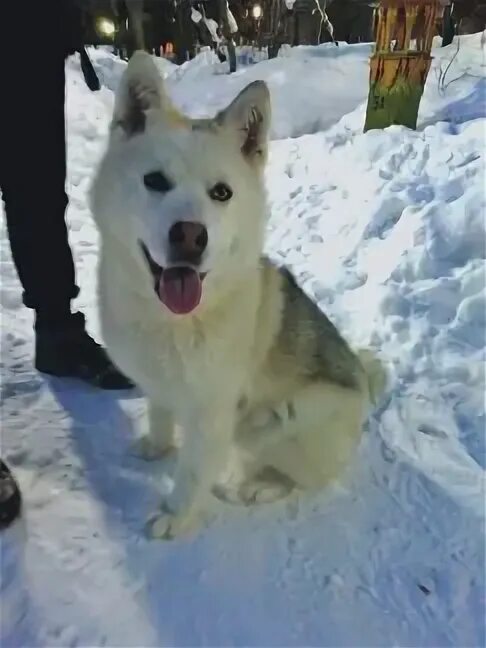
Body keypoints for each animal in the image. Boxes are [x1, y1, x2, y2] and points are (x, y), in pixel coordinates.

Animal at [90, 50, 388, 540]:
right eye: (155, 181)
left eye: (221, 192)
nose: (190, 237)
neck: (174, 321)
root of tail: (364, 382)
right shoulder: (160, 386)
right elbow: (159, 415)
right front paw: (156, 447)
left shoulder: (212, 412)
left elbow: (192, 473)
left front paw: (175, 516)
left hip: (277, 420)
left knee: (302, 478)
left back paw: (256, 486)